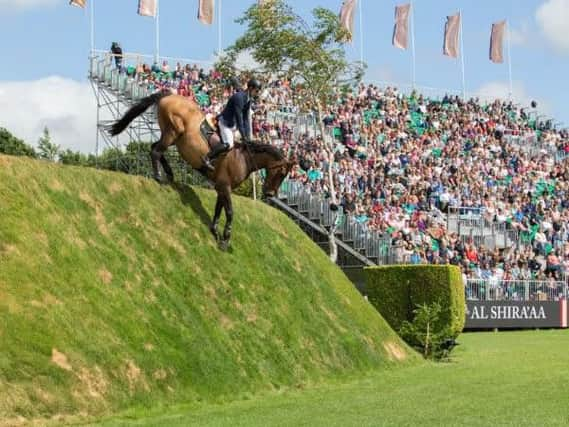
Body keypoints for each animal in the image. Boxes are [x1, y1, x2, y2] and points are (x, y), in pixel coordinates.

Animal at [107, 92, 292, 249]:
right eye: (281, 173)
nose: (269, 194)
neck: (243, 157)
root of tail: (169, 94)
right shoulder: (224, 186)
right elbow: (230, 212)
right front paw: (225, 240)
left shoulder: (221, 187)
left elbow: (218, 210)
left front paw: (215, 230)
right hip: (173, 131)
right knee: (156, 151)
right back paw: (159, 177)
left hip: (172, 136)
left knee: (155, 148)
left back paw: (169, 173)